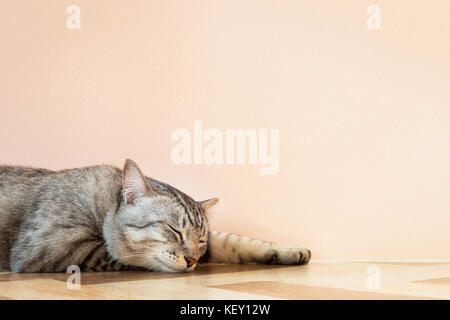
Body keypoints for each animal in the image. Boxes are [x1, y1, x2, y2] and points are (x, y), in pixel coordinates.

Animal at [0, 160, 310, 272]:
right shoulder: (51, 246)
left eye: (200, 242)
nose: (193, 261)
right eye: (174, 230)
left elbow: (235, 241)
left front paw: (286, 251)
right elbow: (123, 252)